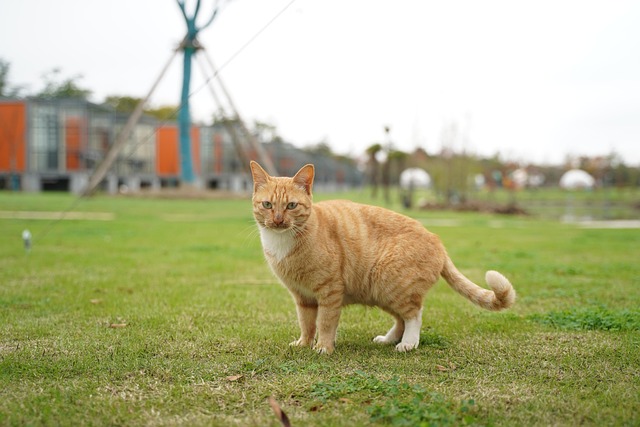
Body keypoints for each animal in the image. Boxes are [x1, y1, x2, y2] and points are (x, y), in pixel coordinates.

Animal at [250, 160, 516, 354]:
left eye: (291, 206)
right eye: (267, 205)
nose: (277, 221)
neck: (283, 242)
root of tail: (437, 239)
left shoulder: (329, 291)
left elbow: (325, 323)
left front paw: (323, 347)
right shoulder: (302, 297)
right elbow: (306, 323)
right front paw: (304, 344)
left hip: (391, 284)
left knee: (414, 315)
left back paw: (408, 343)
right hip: (381, 291)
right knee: (401, 319)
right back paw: (388, 339)